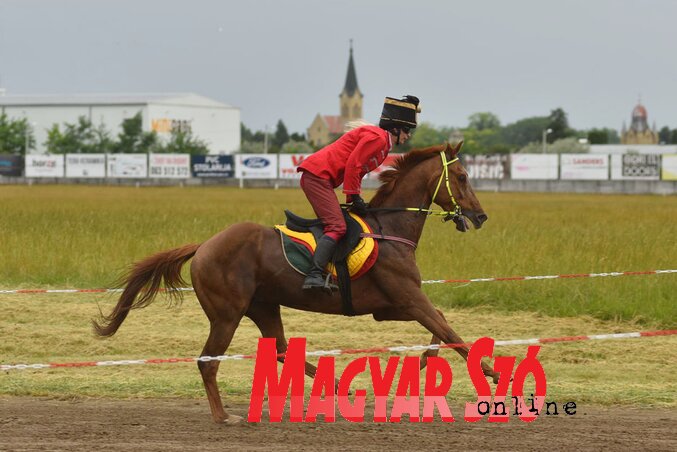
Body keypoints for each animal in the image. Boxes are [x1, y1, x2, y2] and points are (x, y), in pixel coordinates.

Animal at [93, 142, 496, 424]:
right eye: (462, 177)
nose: (480, 216)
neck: (390, 228)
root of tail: (204, 245)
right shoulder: (408, 298)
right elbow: (448, 329)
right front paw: (493, 373)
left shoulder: (390, 306)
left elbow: (441, 323)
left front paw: (429, 360)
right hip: (227, 314)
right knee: (208, 362)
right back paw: (224, 416)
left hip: (264, 306)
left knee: (284, 350)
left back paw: (340, 385)